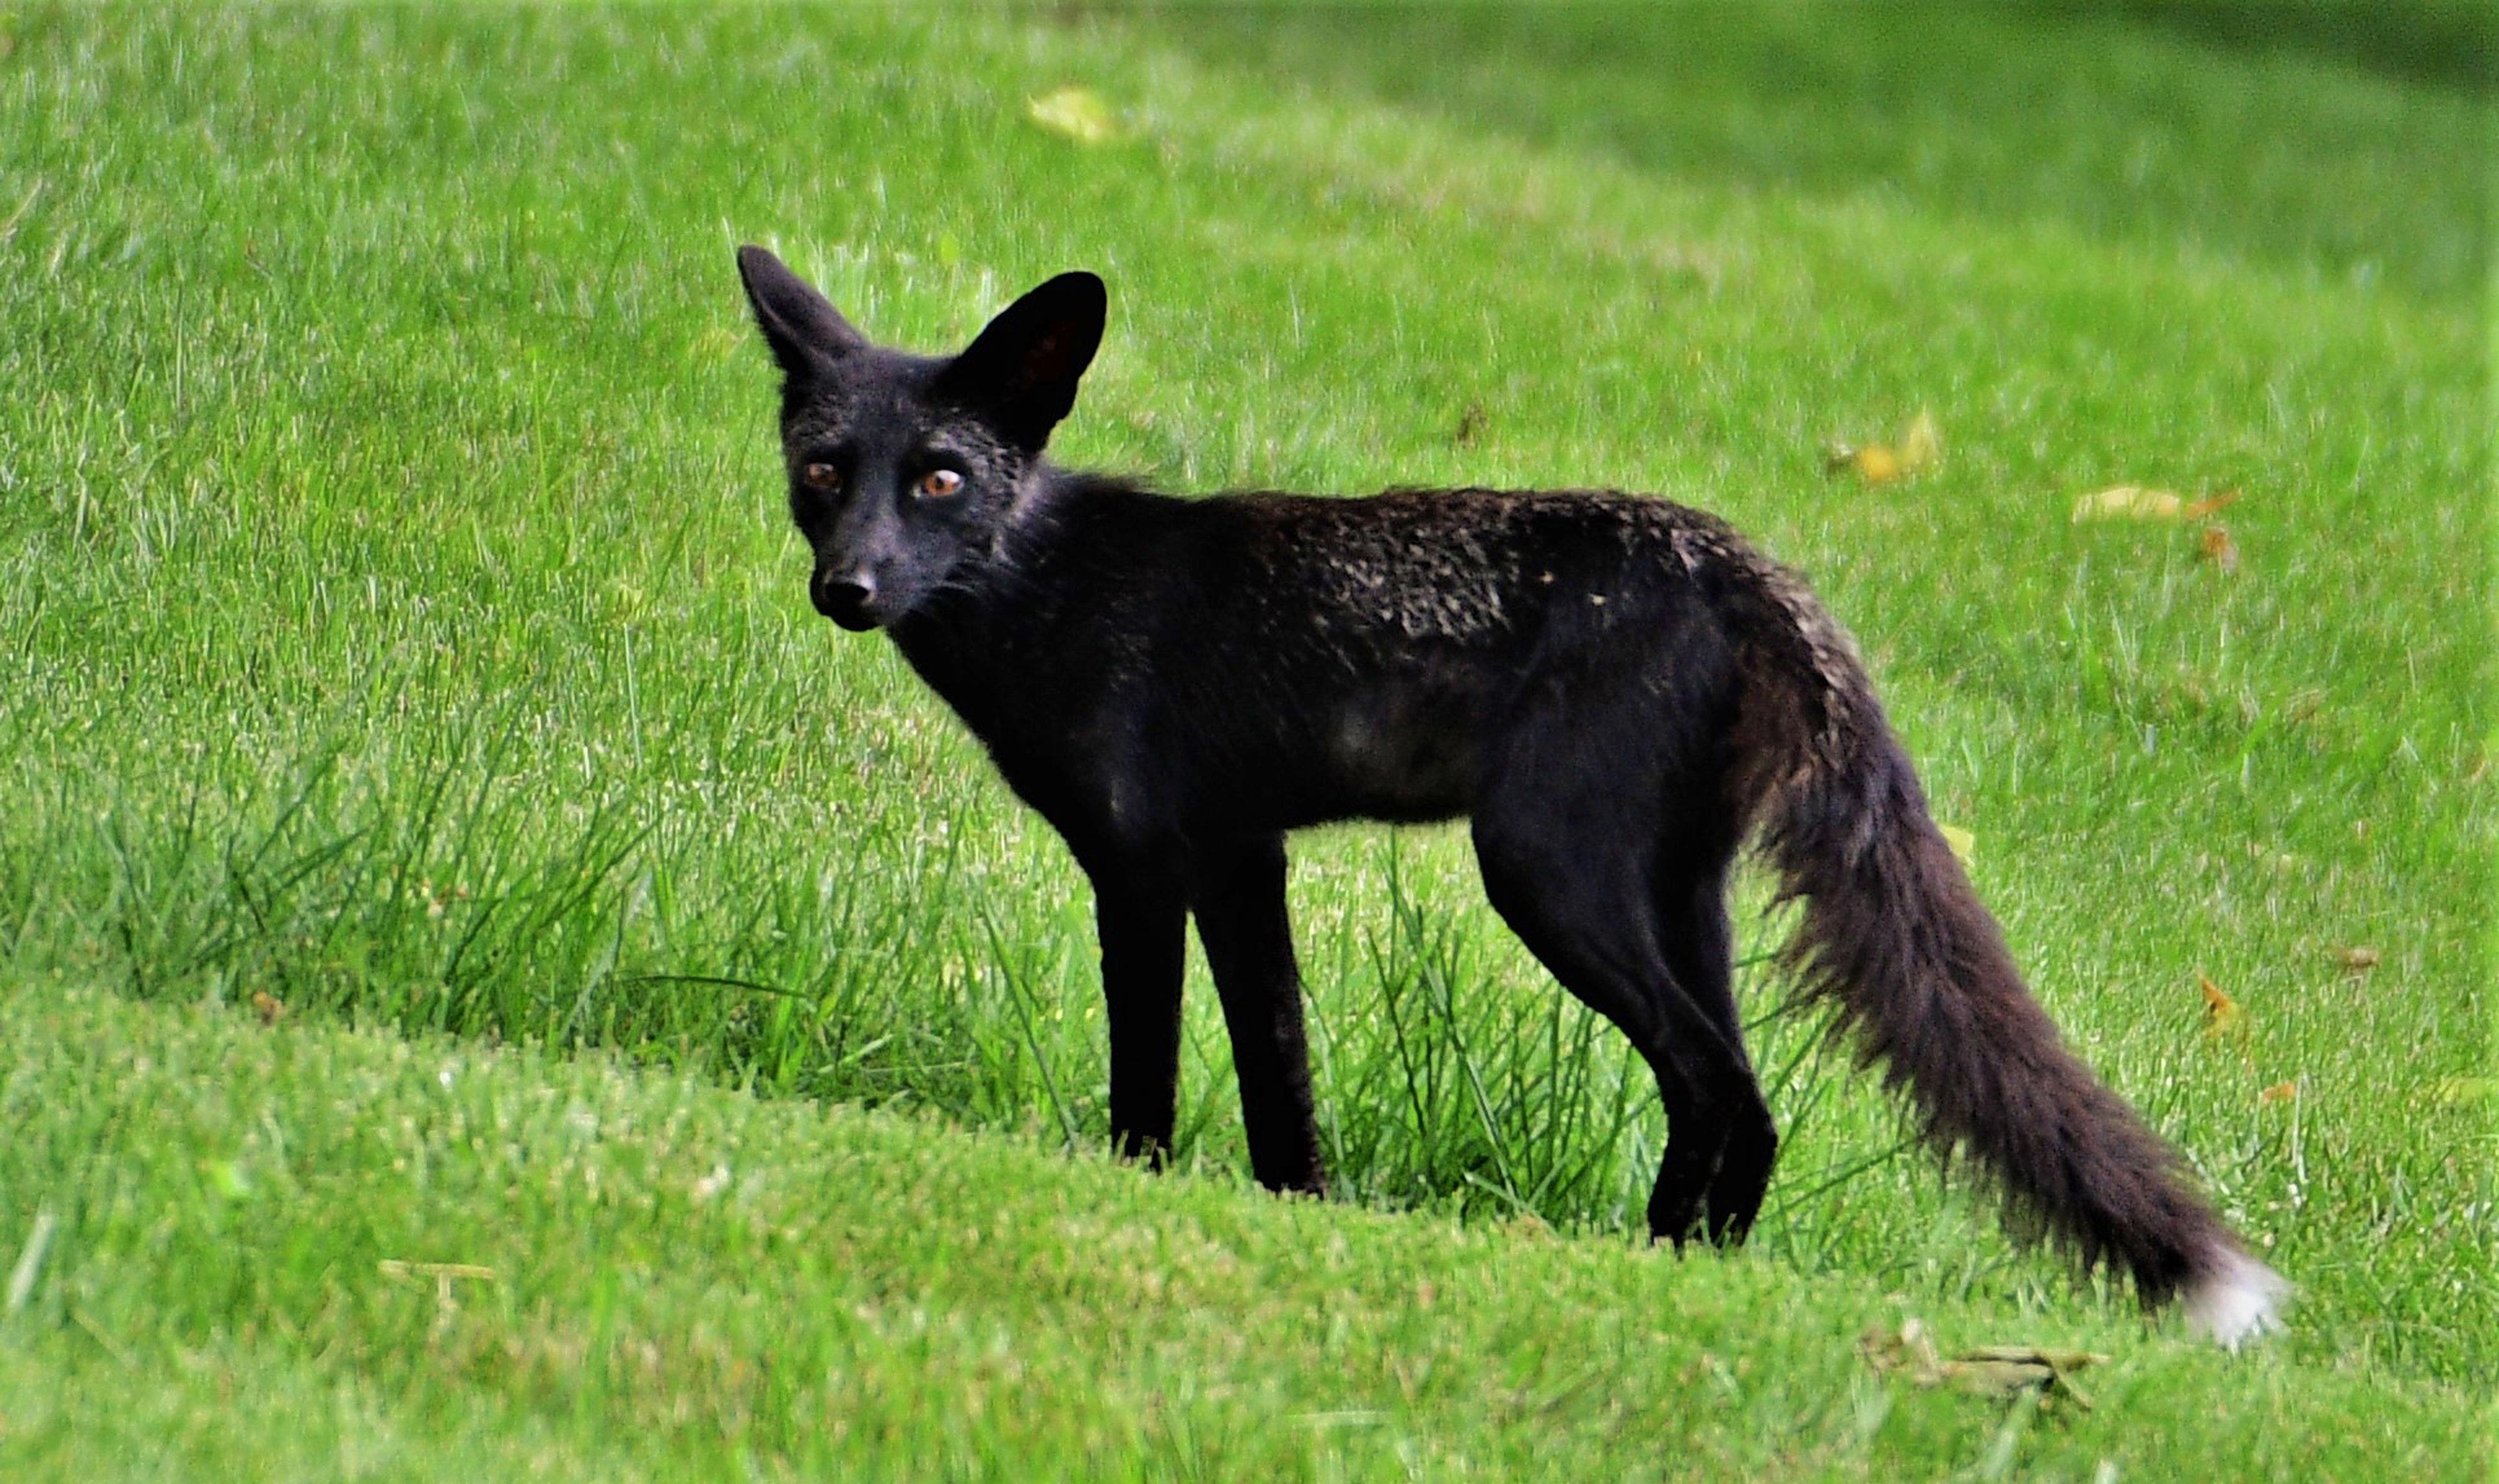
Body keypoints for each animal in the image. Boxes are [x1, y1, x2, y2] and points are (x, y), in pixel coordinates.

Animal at [735, 245, 2287, 1346]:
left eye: (941, 481)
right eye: (824, 471)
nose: (847, 588)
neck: (1047, 592)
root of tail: (1752, 571)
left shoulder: (1143, 867)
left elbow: (1150, 1079)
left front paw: (1132, 1196)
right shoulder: (1240, 859)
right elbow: (1280, 1086)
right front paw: (1297, 1227)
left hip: (1543, 876)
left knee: (1711, 1084)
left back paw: (1646, 1271)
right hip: (1674, 898)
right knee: (1748, 1105)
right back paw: (1699, 1279)